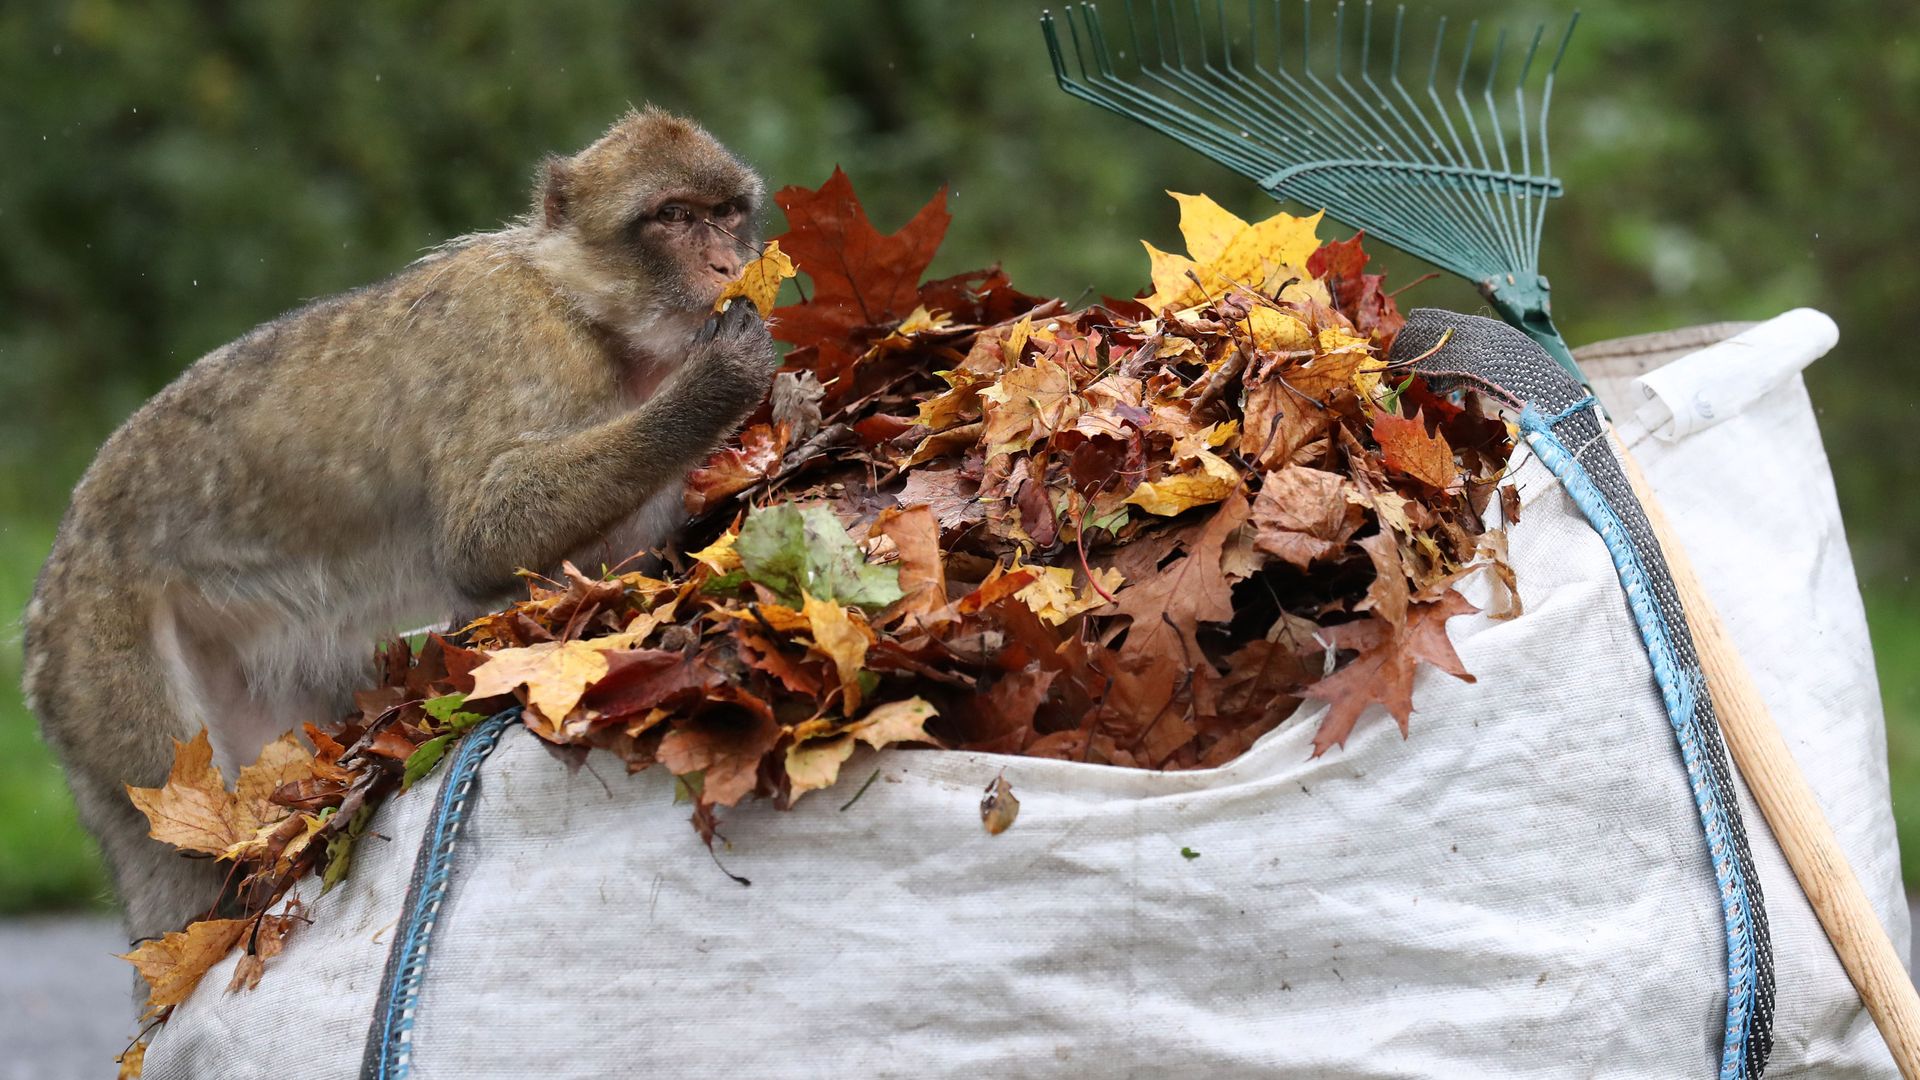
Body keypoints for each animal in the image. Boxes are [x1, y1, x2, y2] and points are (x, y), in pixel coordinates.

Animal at [20, 107, 777, 949]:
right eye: (672, 216)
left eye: (726, 214)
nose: (726, 261)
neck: (589, 313)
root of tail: (57, 581)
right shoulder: (520, 336)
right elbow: (480, 537)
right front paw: (717, 385)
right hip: (103, 668)